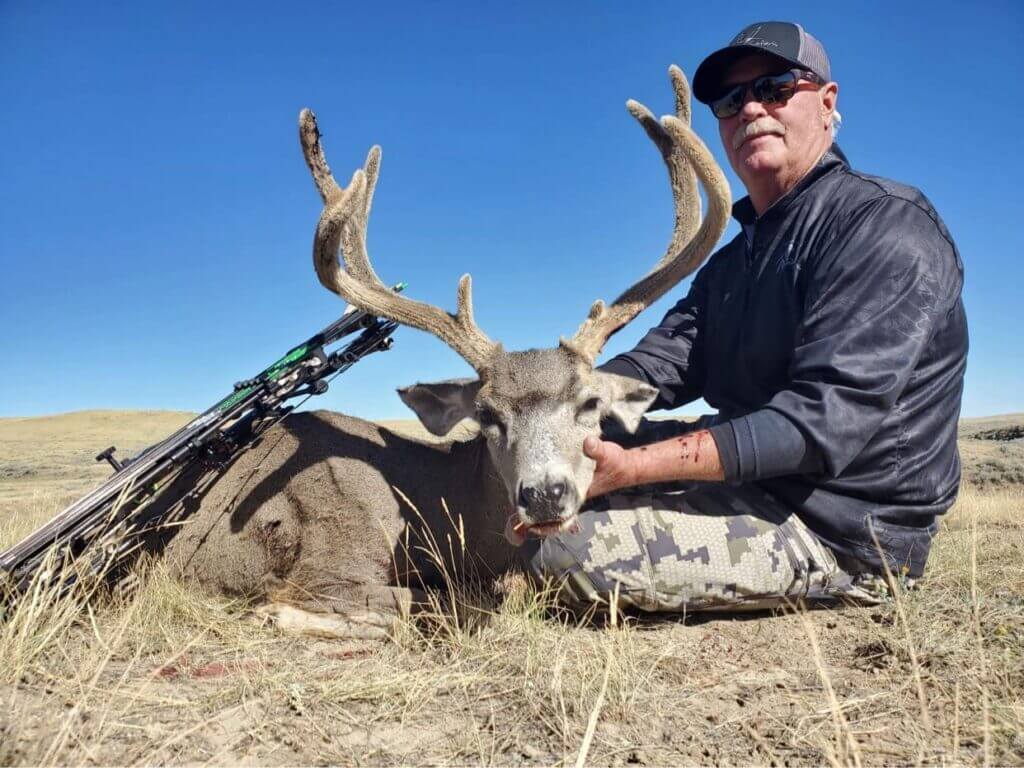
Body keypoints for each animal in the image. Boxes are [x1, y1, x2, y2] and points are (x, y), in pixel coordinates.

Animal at [163, 69, 729, 638]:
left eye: (590, 404)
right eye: (486, 413)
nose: (544, 494)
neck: (441, 500)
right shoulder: (330, 557)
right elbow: (454, 601)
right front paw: (282, 612)